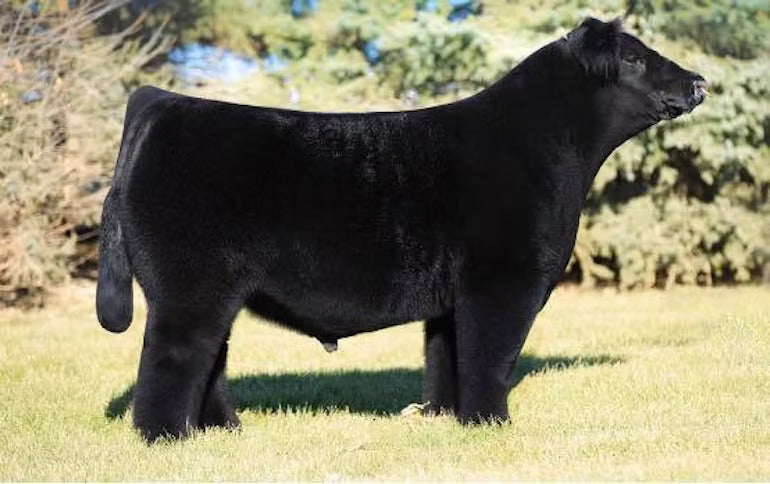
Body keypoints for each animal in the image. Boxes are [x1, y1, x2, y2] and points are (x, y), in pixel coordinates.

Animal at [96, 17, 707, 441]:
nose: (699, 80)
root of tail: (161, 103)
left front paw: (444, 417)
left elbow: (447, 356)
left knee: (210, 359)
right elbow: (491, 357)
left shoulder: (455, 297)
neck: (545, 147)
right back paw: (166, 439)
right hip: (190, 287)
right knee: (172, 358)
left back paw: (222, 430)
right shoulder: (503, 283)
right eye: (634, 58)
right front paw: (491, 424)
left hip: (213, 290)